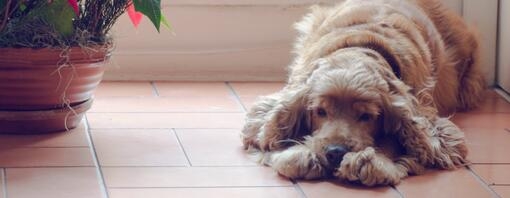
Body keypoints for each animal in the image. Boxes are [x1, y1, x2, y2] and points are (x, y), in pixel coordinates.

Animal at [241, 0, 484, 186]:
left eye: (366, 116)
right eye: (320, 112)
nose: (335, 152)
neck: (361, 46)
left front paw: (370, 162)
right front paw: (303, 155)